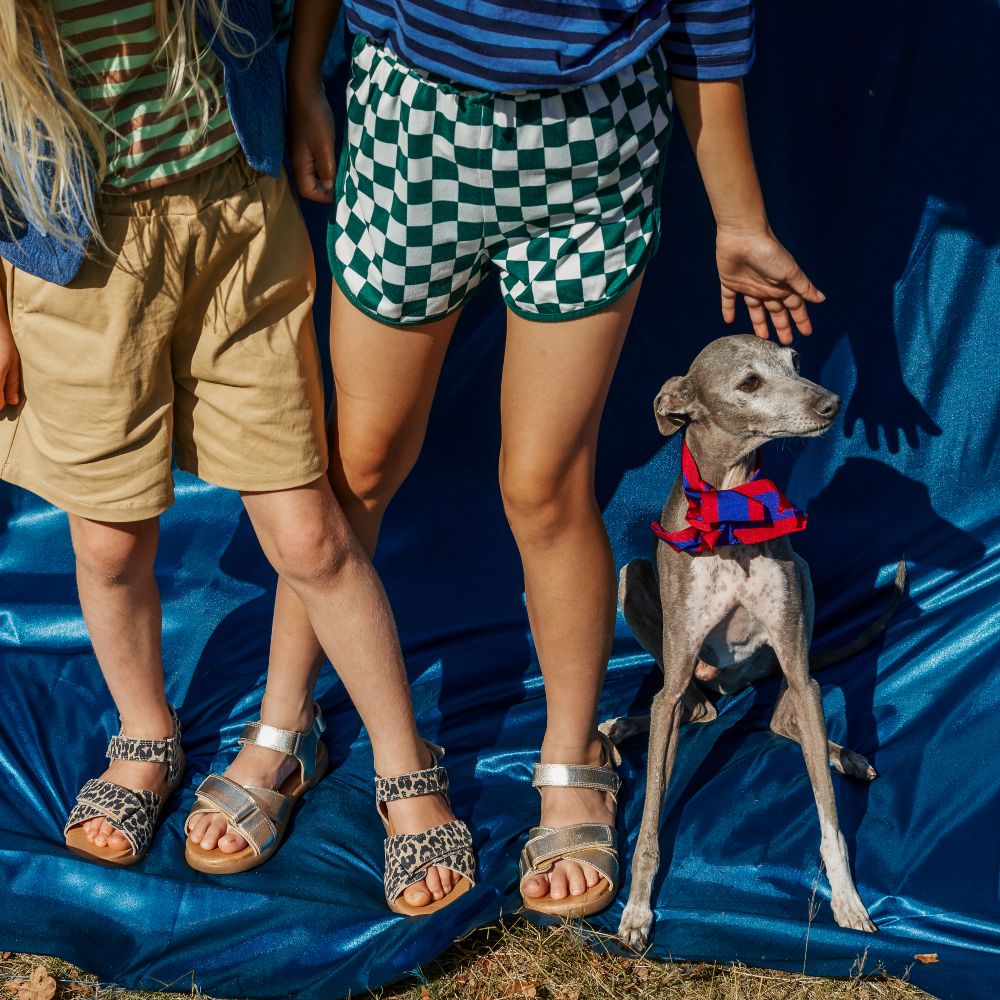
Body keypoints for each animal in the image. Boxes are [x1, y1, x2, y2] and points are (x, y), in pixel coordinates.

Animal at [608, 334, 908, 944]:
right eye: (749, 382)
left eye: (794, 362)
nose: (831, 403)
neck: (732, 514)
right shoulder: (674, 676)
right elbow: (649, 820)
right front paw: (637, 909)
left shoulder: (798, 666)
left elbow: (829, 819)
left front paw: (847, 899)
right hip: (635, 583)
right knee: (691, 710)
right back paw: (625, 724)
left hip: (801, 602)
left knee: (782, 720)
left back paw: (846, 757)